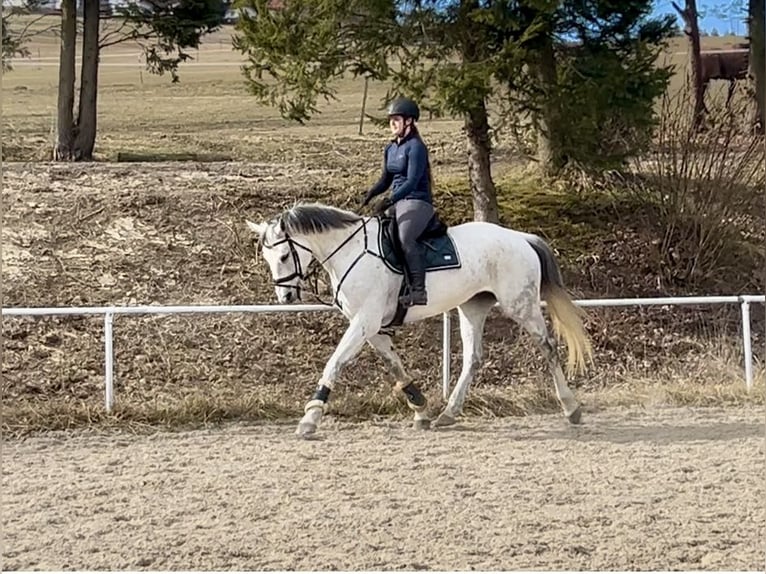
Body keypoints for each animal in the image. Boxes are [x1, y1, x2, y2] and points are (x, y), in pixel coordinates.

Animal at [249, 201, 596, 436]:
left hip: (520, 305)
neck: (351, 252)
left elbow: (335, 362)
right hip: (472, 308)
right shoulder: (371, 326)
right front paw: (420, 409)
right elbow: (394, 365)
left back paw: (571, 408)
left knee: (548, 347)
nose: (285, 297)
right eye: (266, 257)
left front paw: (311, 416)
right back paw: (449, 413)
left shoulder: (364, 321)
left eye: (284, 256)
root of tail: (521, 238)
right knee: (473, 358)